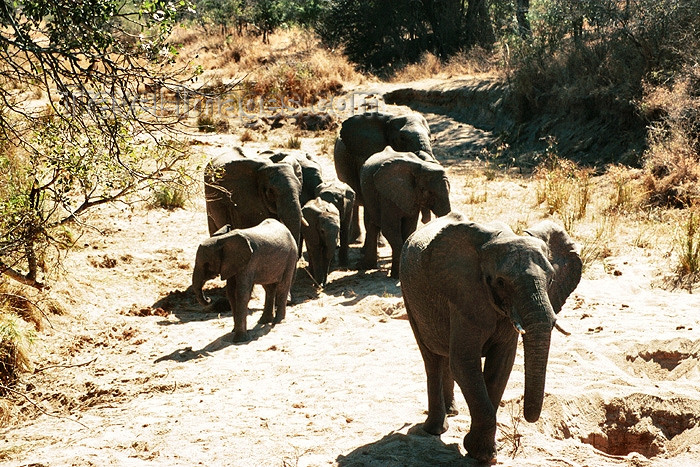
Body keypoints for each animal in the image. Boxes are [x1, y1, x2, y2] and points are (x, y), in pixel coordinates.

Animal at [358, 147, 452, 278]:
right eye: (428, 192)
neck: (421, 166)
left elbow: (409, 228)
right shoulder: (387, 195)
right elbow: (390, 230)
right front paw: (396, 276)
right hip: (366, 192)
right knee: (371, 224)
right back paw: (366, 266)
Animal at [400, 213, 580, 464]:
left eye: (551, 280)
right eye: (501, 282)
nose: (528, 417)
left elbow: (501, 365)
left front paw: (481, 452)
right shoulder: (466, 295)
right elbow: (464, 363)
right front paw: (482, 454)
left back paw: (452, 412)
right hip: (409, 297)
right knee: (431, 357)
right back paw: (435, 429)